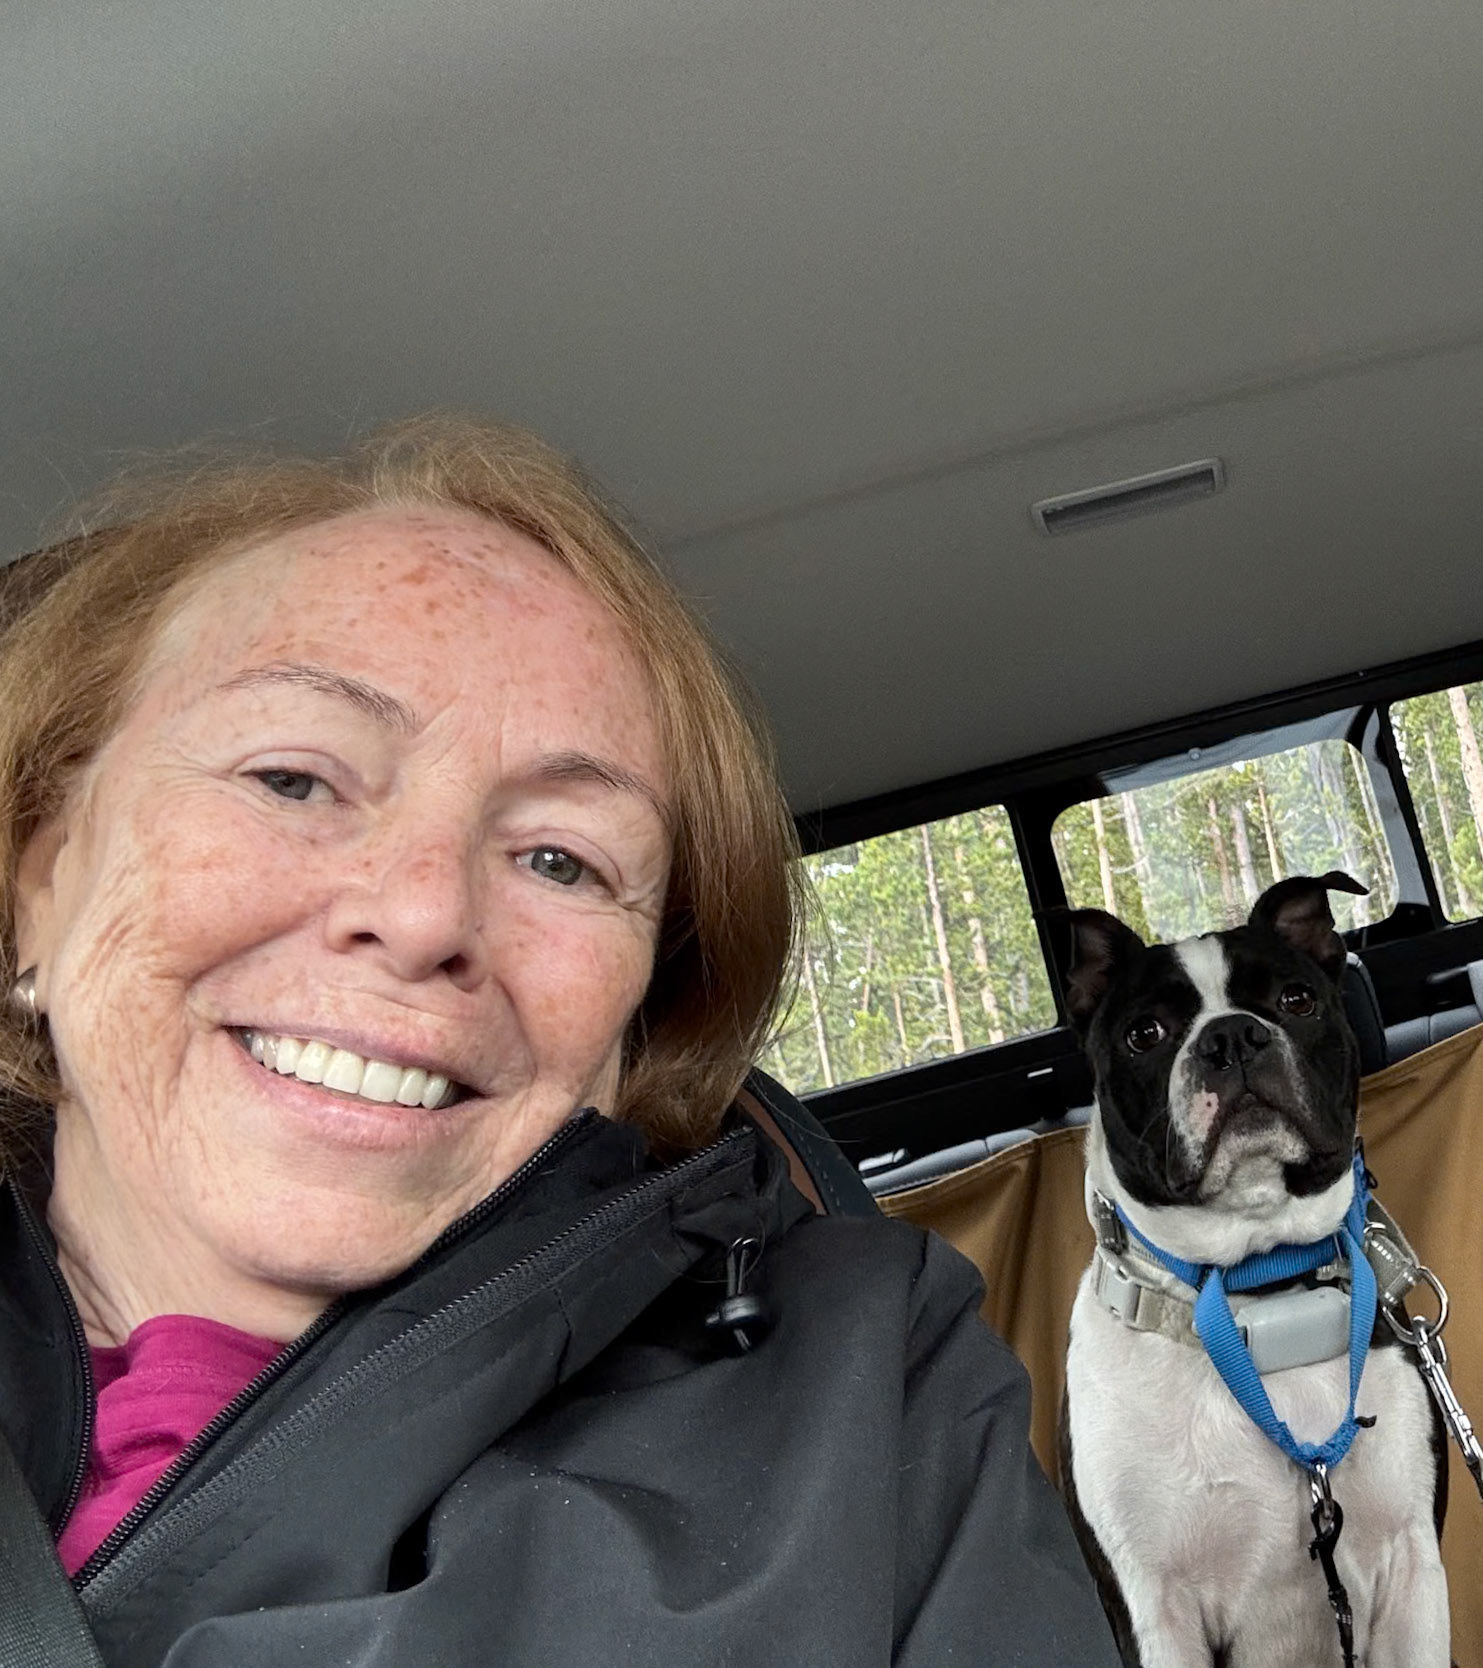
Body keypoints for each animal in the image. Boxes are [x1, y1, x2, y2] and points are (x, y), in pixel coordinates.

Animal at [1058, 872, 1449, 1668]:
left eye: (1295, 1001)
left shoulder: (1410, 1569)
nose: (1232, 1036)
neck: (1263, 1301)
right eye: (1143, 1034)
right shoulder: (1156, 1612)